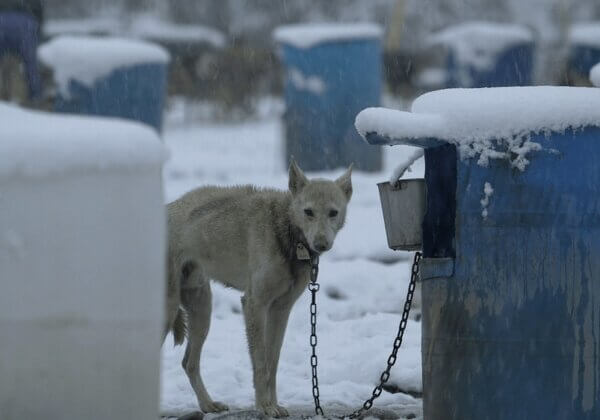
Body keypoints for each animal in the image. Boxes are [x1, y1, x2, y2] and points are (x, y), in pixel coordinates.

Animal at [164, 161, 352, 416]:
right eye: (308, 212)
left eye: (333, 212)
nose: (321, 244)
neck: (285, 232)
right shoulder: (254, 304)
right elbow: (260, 364)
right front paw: (264, 406)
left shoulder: (280, 310)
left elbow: (272, 363)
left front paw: (274, 405)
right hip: (168, 313)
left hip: (202, 313)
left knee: (188, 363)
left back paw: (207, 405)